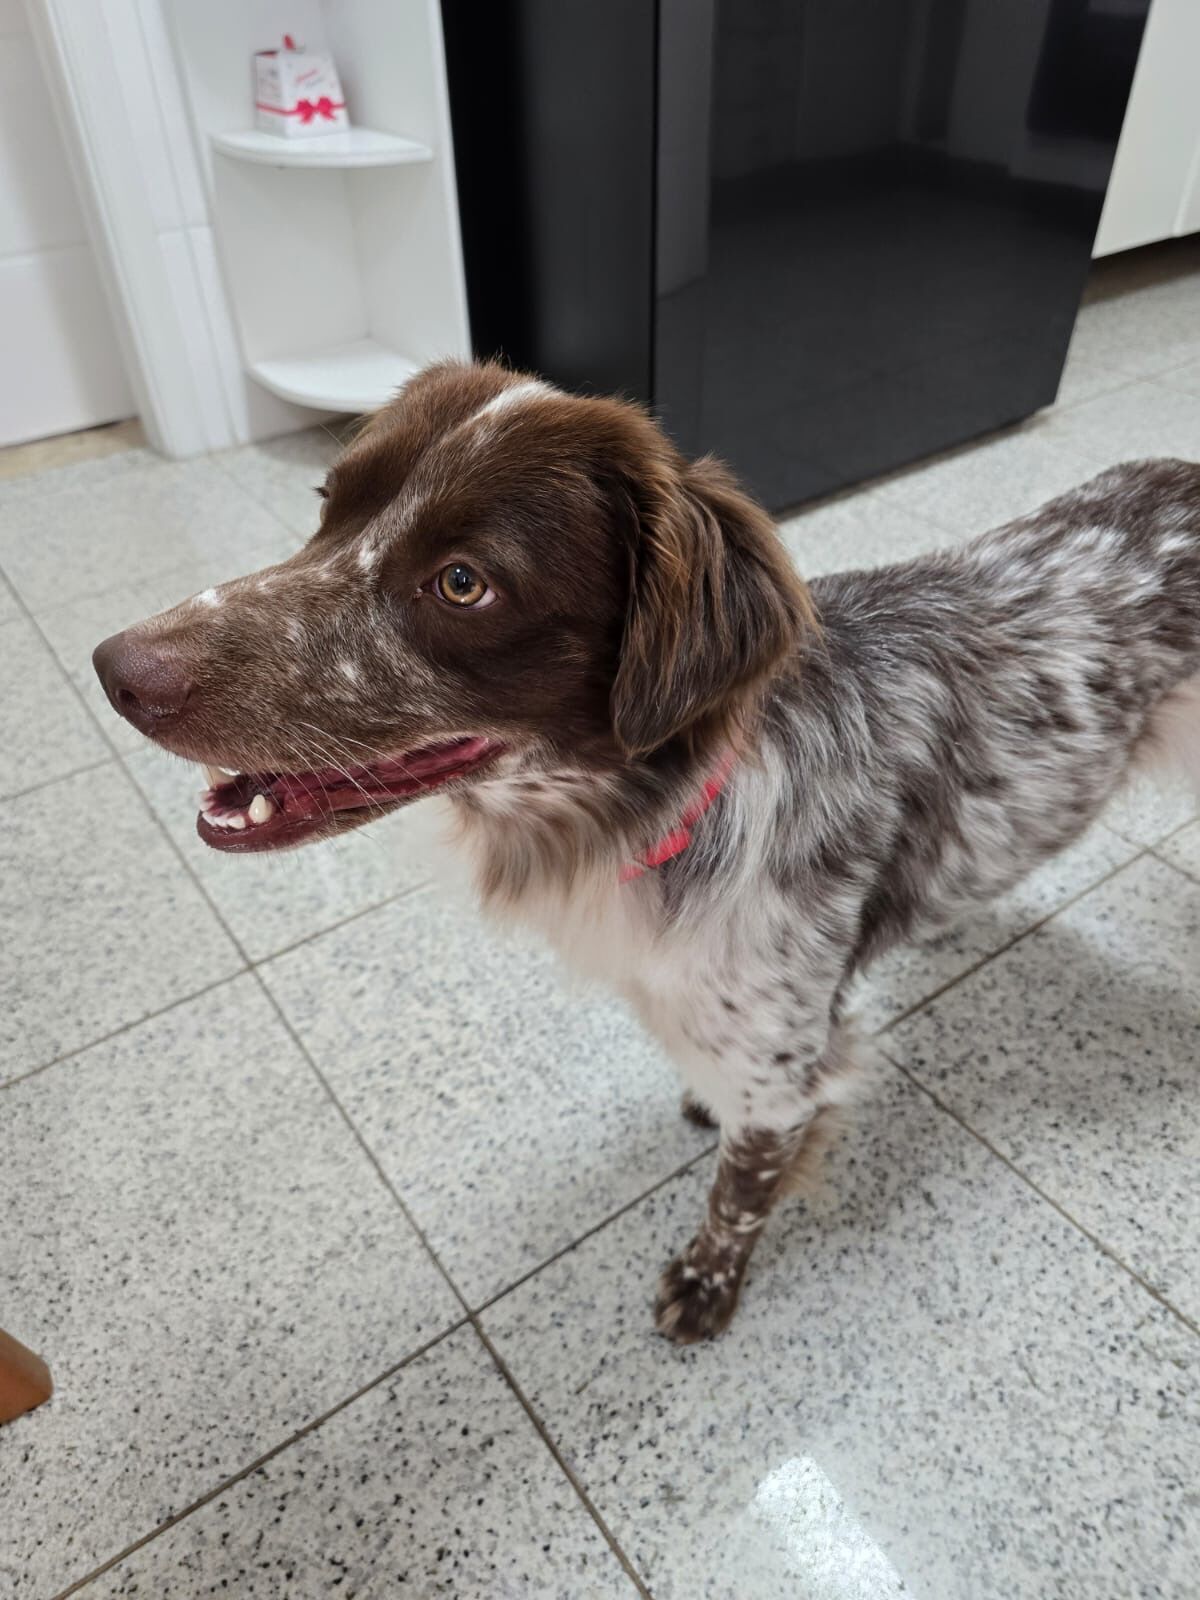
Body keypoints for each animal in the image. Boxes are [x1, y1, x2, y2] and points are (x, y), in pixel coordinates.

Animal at [93, 360, 1200, 1343]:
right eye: (329, 505)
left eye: (463, 583)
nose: (115, 670)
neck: (658, 809)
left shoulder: (783, 1063)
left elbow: (740, 1190)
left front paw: (707, 1285)